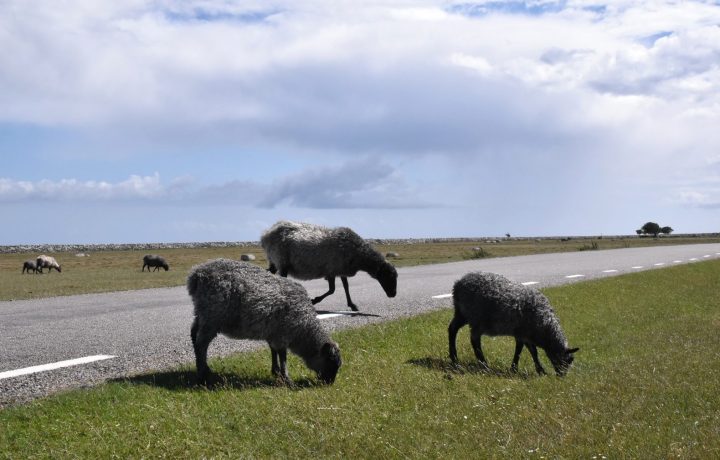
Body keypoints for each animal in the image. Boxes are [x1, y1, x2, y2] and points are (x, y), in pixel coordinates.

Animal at [186, 258, 344, 384]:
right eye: (330, 362)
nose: (329, 383)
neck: (304, 329)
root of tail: (196, 275)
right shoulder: (283, 333)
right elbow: (283, 355)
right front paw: (286, 378)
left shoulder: (273, 332)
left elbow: (273, 350)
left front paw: (275, 371)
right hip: (212, 316)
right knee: (201, 344)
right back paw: (203, 375)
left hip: (202, 313)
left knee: (194, 334)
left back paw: (204, 368)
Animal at [260, 220, 400, 312]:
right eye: (388, 276)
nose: (393, 294)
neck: (359, 254)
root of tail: (266, 234)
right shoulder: (332, 270)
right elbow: (332, 290)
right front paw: (314, 300)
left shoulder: (340, 270)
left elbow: (346, 287)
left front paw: (352, 305)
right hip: (282, 261)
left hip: (274, 261)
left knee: (269, 272)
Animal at [450, 272, 580, 376]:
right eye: (566, 361)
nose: (562, 376)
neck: (544, 327)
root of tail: (458, 285)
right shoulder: (522, 333)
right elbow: (523, 351)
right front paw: (517, 369)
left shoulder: (525, 335)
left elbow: (531, 351)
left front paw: (538, 370)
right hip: (476, 318)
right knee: (474, 340)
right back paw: (484, 365)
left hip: (462, 313)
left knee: (452, 329)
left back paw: (454, 359)